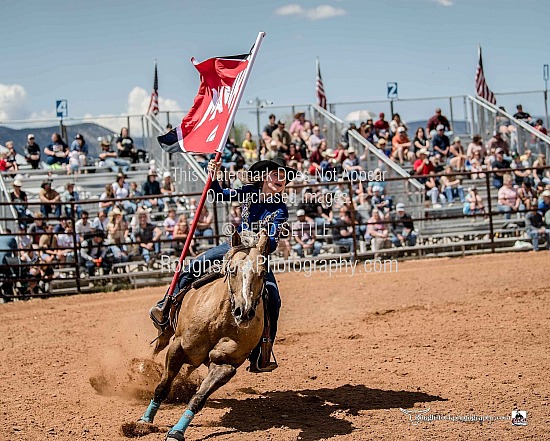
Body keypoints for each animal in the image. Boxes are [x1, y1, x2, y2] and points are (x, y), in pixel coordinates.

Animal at [136, 229, 270, 438]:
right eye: (232, 270)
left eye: (262, 273)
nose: (244, 311)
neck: (219, 317)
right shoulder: (178, 348)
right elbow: (162, 387)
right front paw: (145, 420)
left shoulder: (225, 364)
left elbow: (198, 397)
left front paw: (177, 431)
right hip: (167, 334)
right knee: (159, 344)